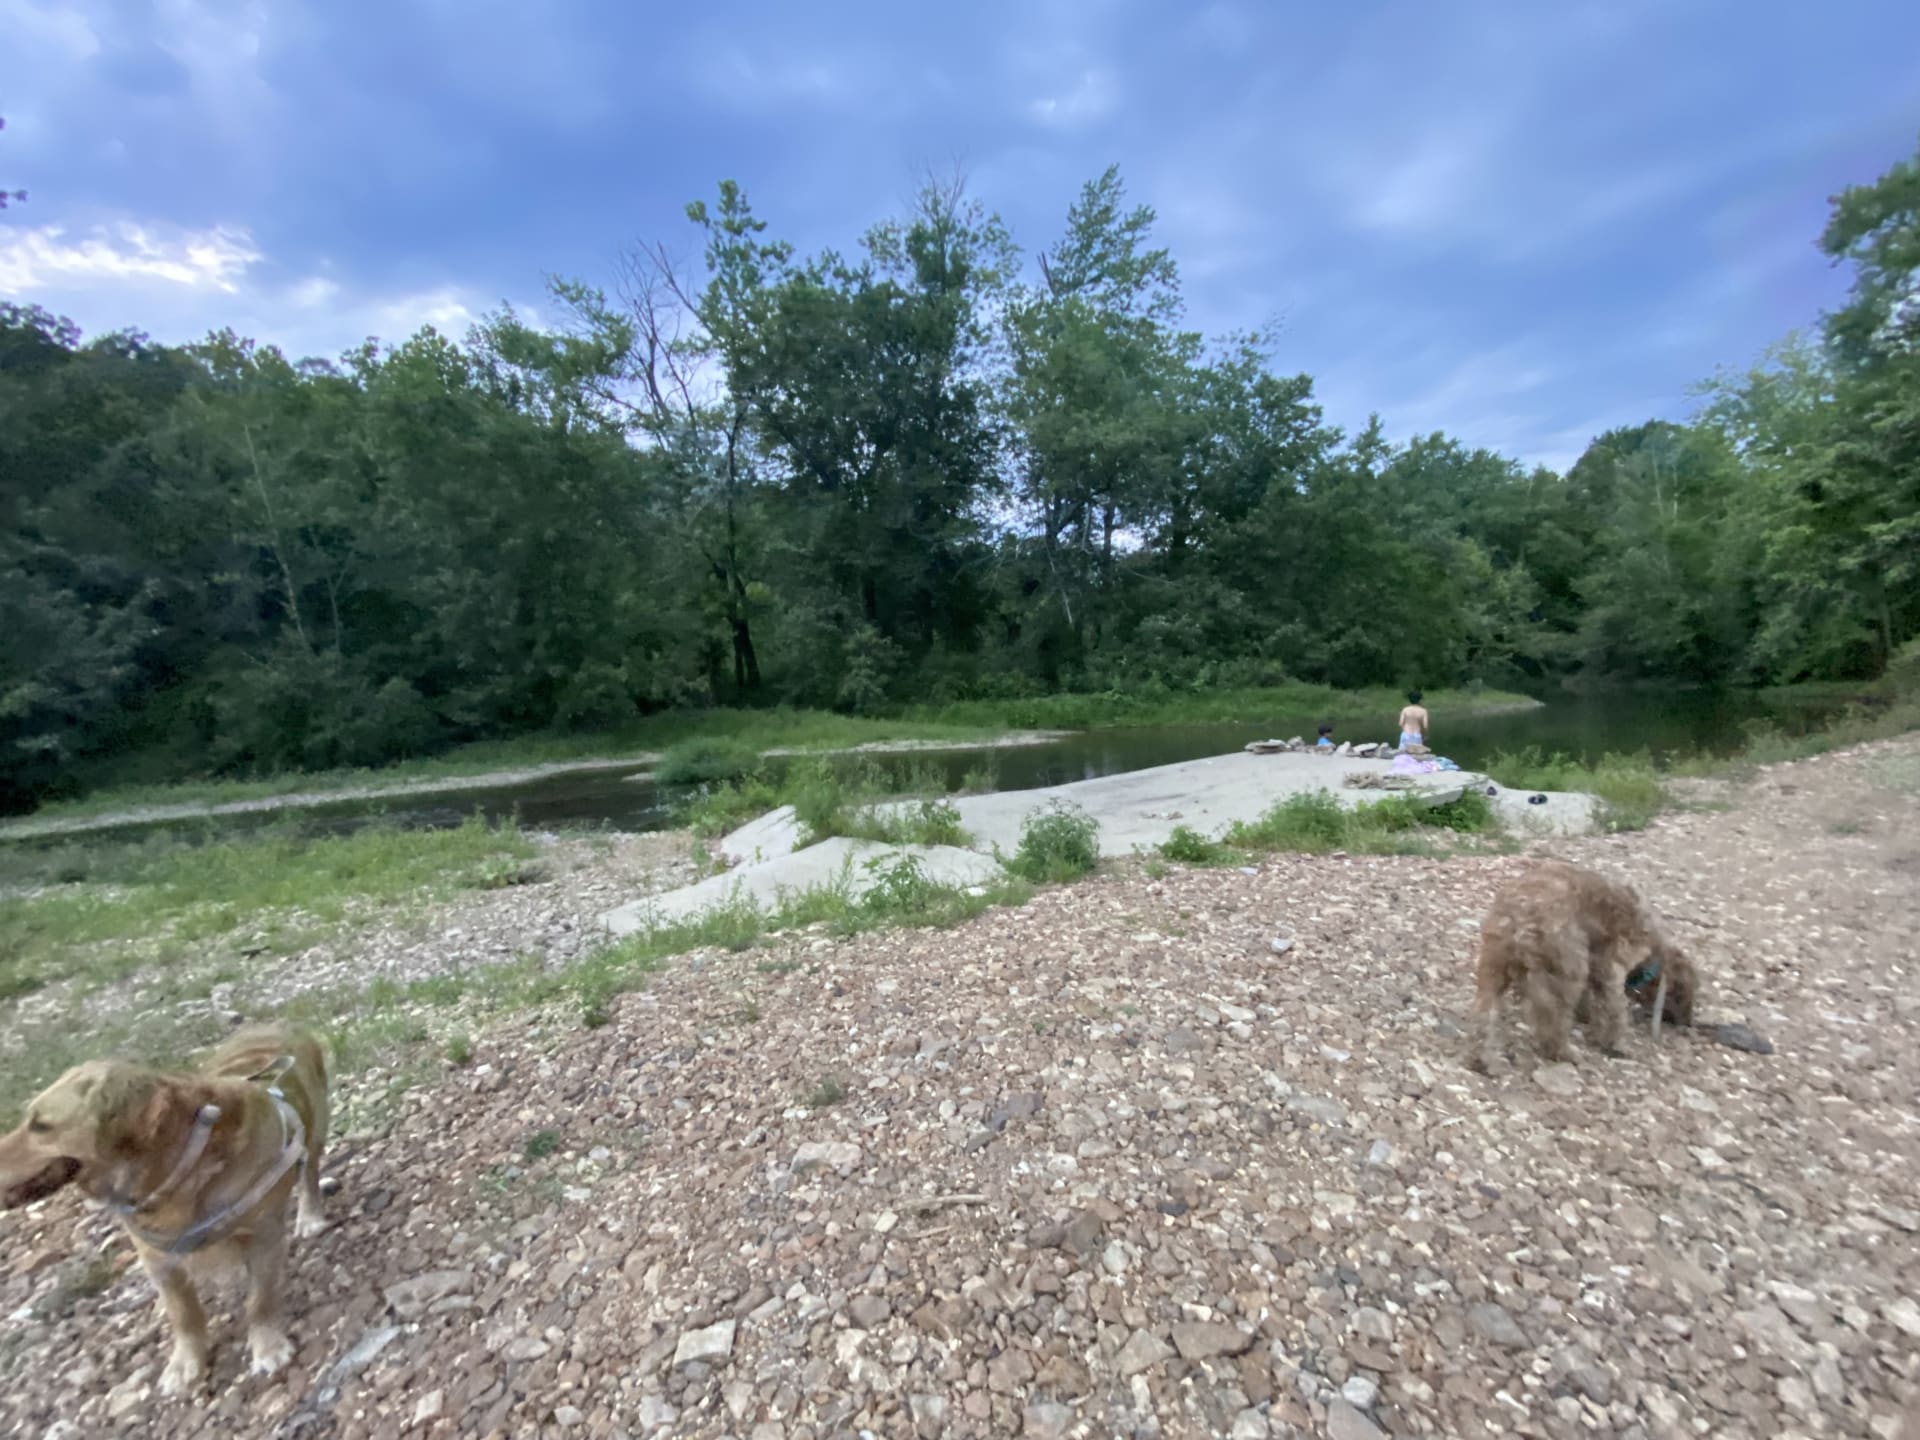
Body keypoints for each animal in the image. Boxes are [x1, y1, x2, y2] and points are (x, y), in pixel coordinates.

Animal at [0, 1029, 332, 1397]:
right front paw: (186, 1363)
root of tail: (277, 1025)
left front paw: (268, 1346)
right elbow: (183, 1314)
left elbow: (259, 1300)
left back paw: (310, 1216)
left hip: (315, 1130)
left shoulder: (261, 1236)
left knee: (310, 1172)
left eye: (41, 1126)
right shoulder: (155, 1254)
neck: (178, 1168)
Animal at [1466, 856, 1697, 1075]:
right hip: (1567, 972)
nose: (1688, 1023)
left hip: (1494, 969)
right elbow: (1615, 1010)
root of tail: (1517, 918)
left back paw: (1481, 1059)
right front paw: (1617, 1043)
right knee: (1554, 1023)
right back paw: (1564, 1052)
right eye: (1683, 997)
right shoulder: (1610, 966)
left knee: (1483, 1015)